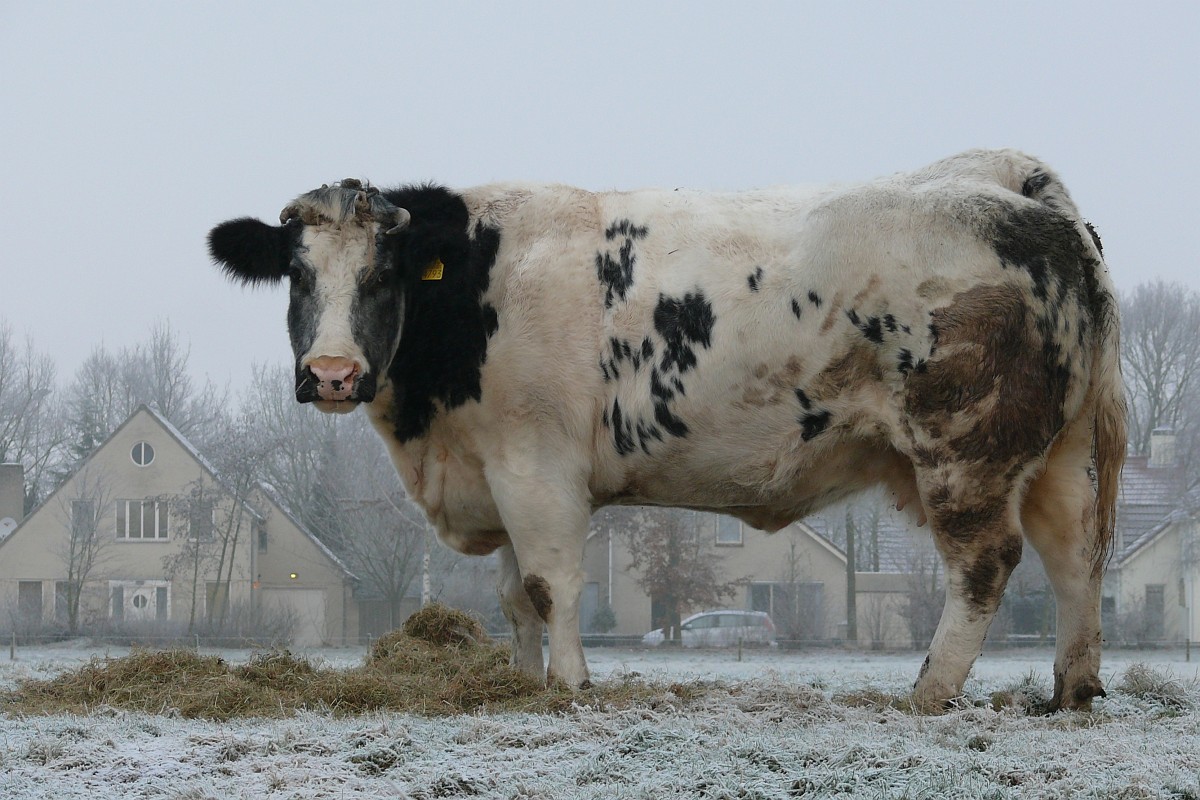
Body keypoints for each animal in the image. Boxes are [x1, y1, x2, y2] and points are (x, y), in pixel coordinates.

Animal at [208, 149, 1125, 712]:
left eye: (383, 274)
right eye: (297, 275)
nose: (332, 373)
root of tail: (1009, 188)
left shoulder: (536, 465)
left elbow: (548, 584)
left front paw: (571, 686)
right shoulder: (496, 469)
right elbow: (511, 600)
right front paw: (522, 682)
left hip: (966, 449)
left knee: (985, 564)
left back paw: (931, 691)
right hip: (1057, 454)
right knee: (1076, 556)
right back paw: (1071, 691)